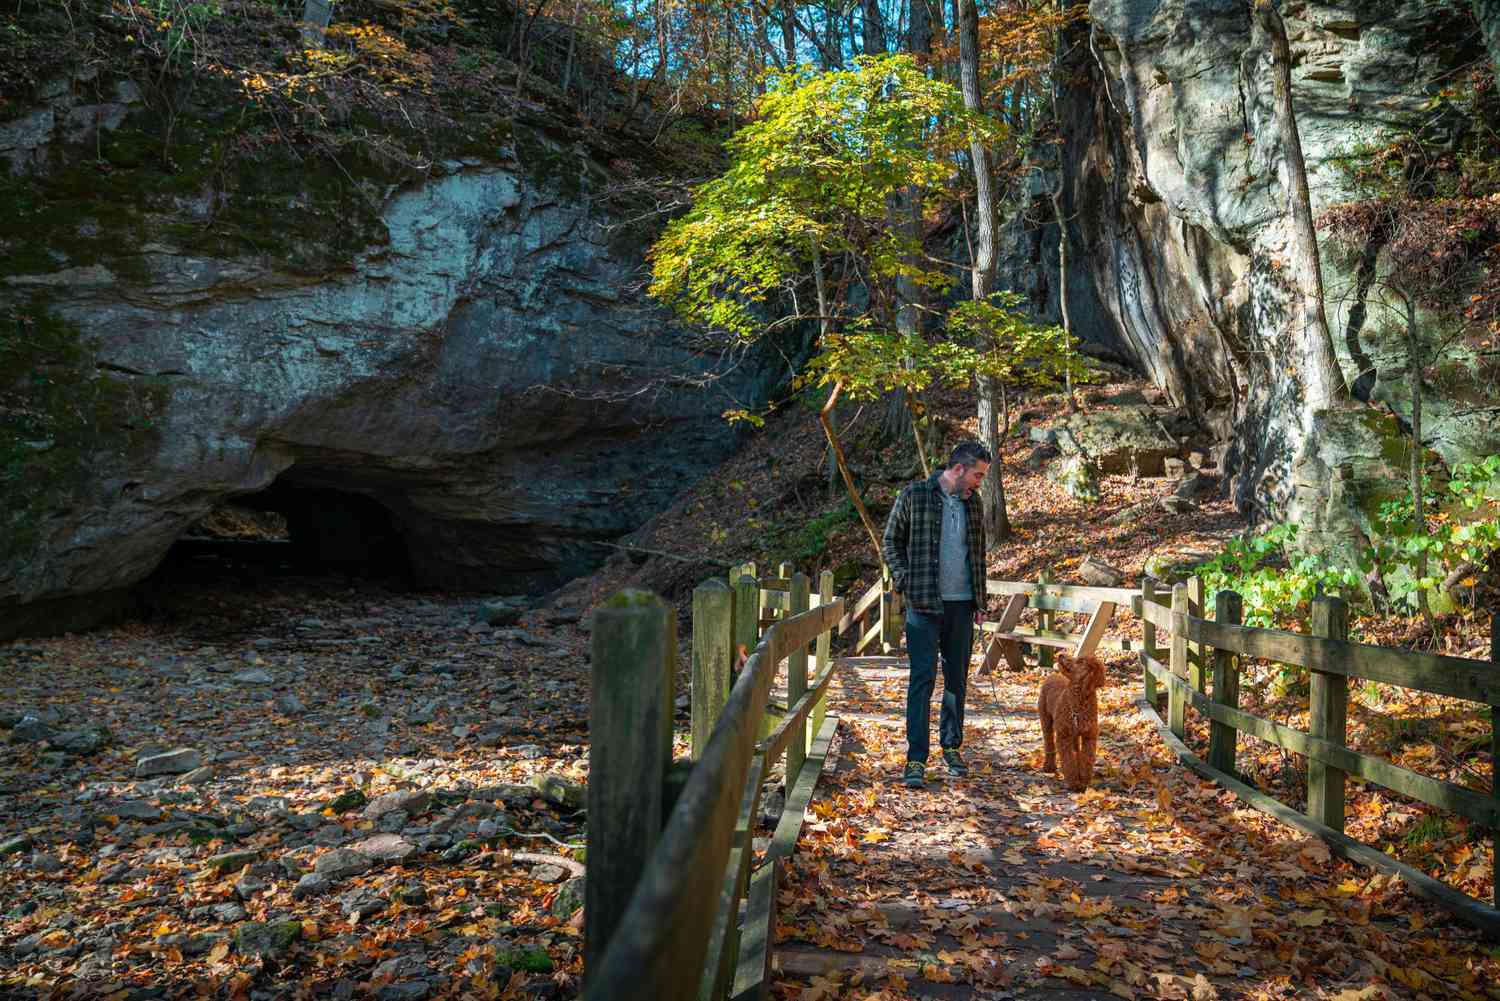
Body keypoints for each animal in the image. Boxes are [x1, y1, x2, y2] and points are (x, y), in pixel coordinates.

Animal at [1038, 654, 1110, 792]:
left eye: (1080, 661)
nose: (1061, 655)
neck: (1079, 705)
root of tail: (1053, 675)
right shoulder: (1064, 736)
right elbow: (1068, 760)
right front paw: (1073, 782)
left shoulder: (1089, 736)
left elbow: (1086, 758)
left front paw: (1083, 780)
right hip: (1046, 719)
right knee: (1049, 742)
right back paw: (1049, 766)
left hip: (1074, 733)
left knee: (1075, 750)